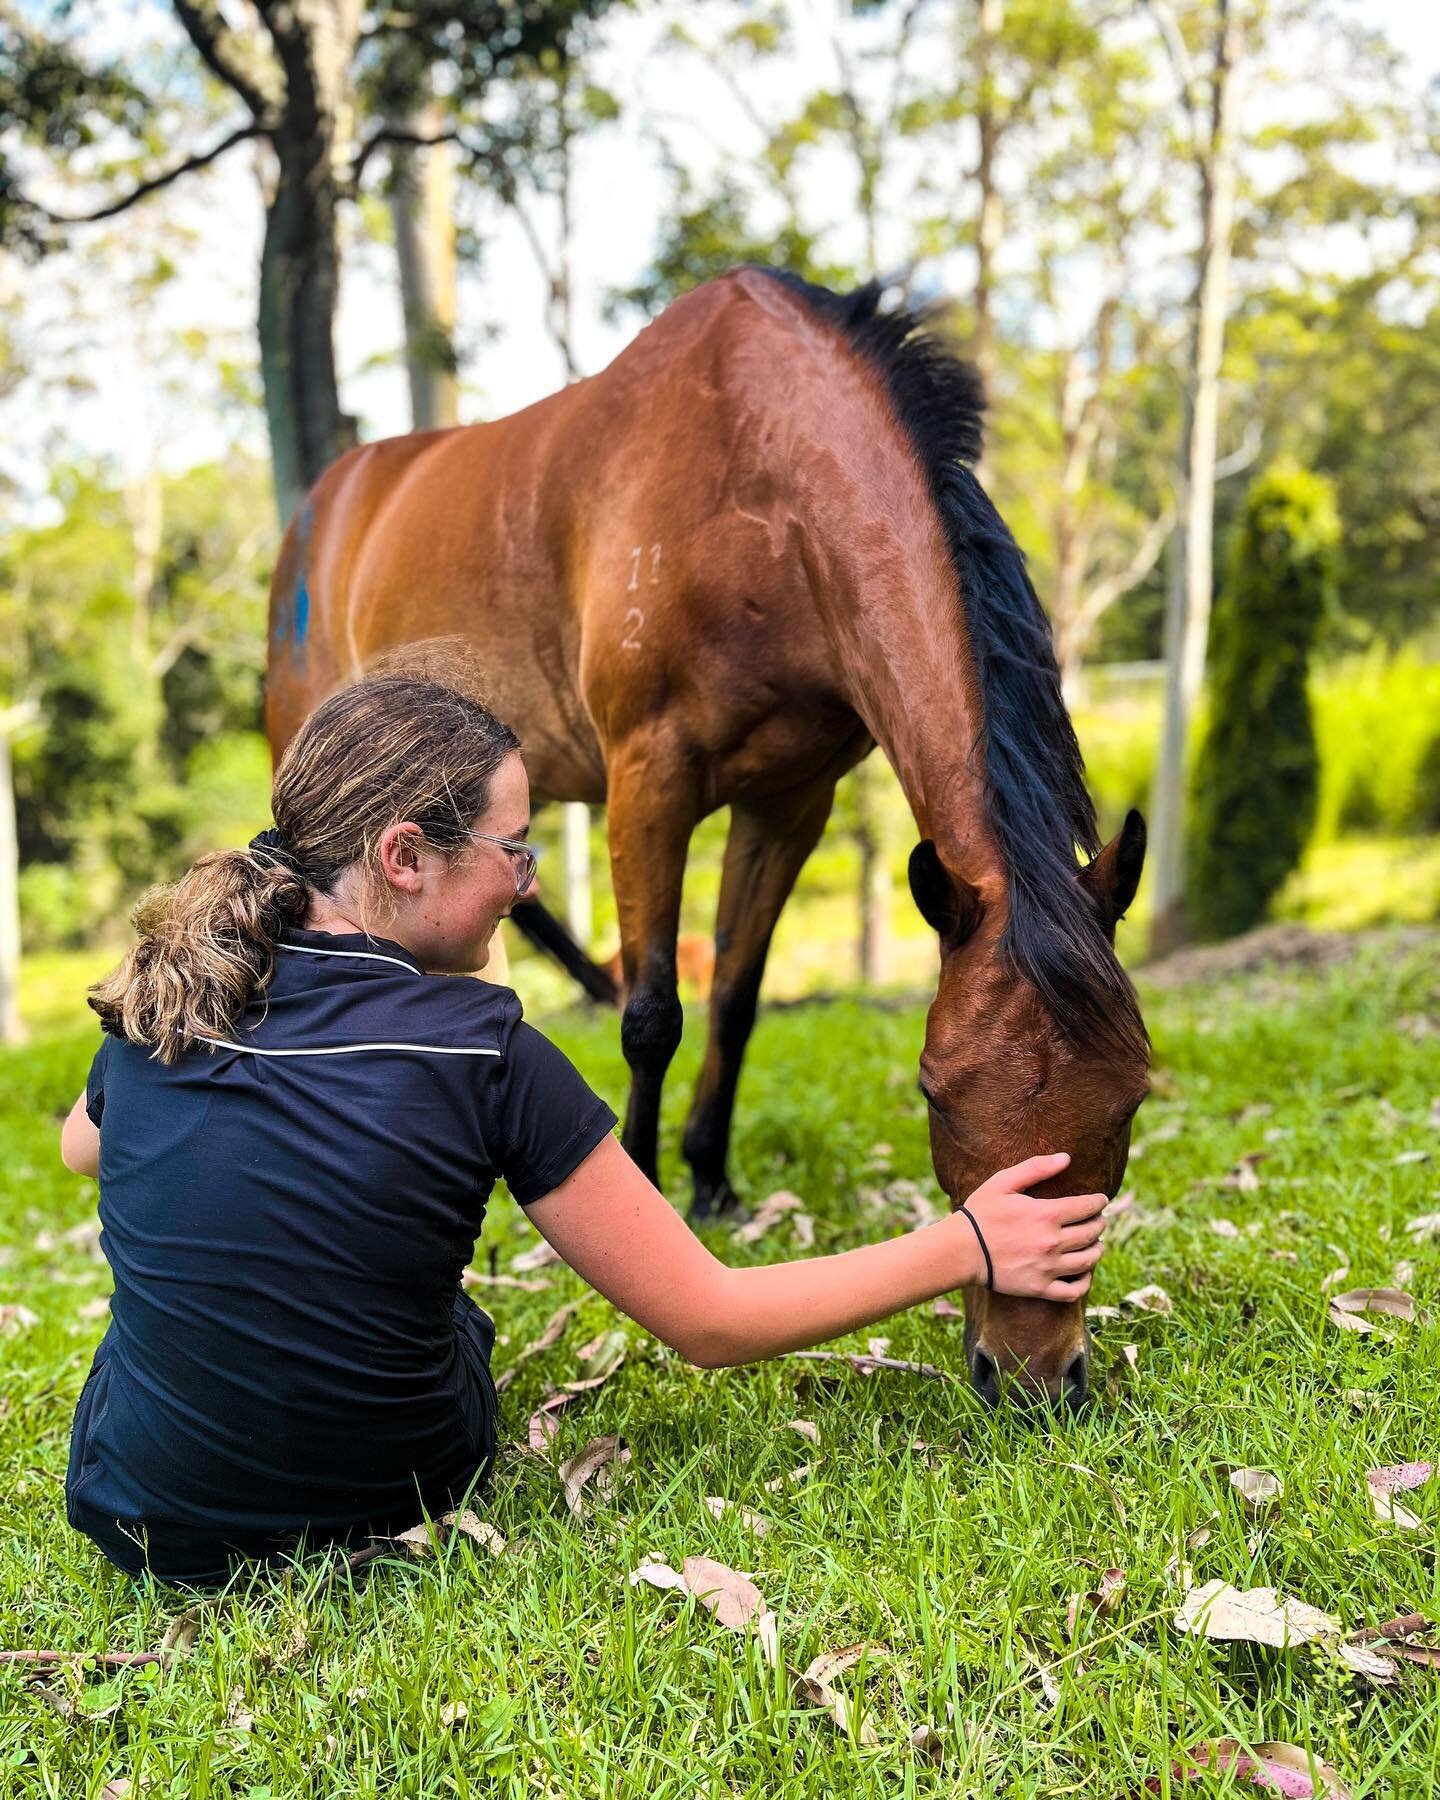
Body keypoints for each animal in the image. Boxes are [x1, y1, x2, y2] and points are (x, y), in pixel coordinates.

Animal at [264, 270, 1152, 1418]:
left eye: (1131, 1097)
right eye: (934, 1092)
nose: (1038, 1380)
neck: (758, 483)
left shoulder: (791, 800)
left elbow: (735, 994)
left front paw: (714, 1176)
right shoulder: (650, 778)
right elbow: (653, 1013)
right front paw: (642, 1183)